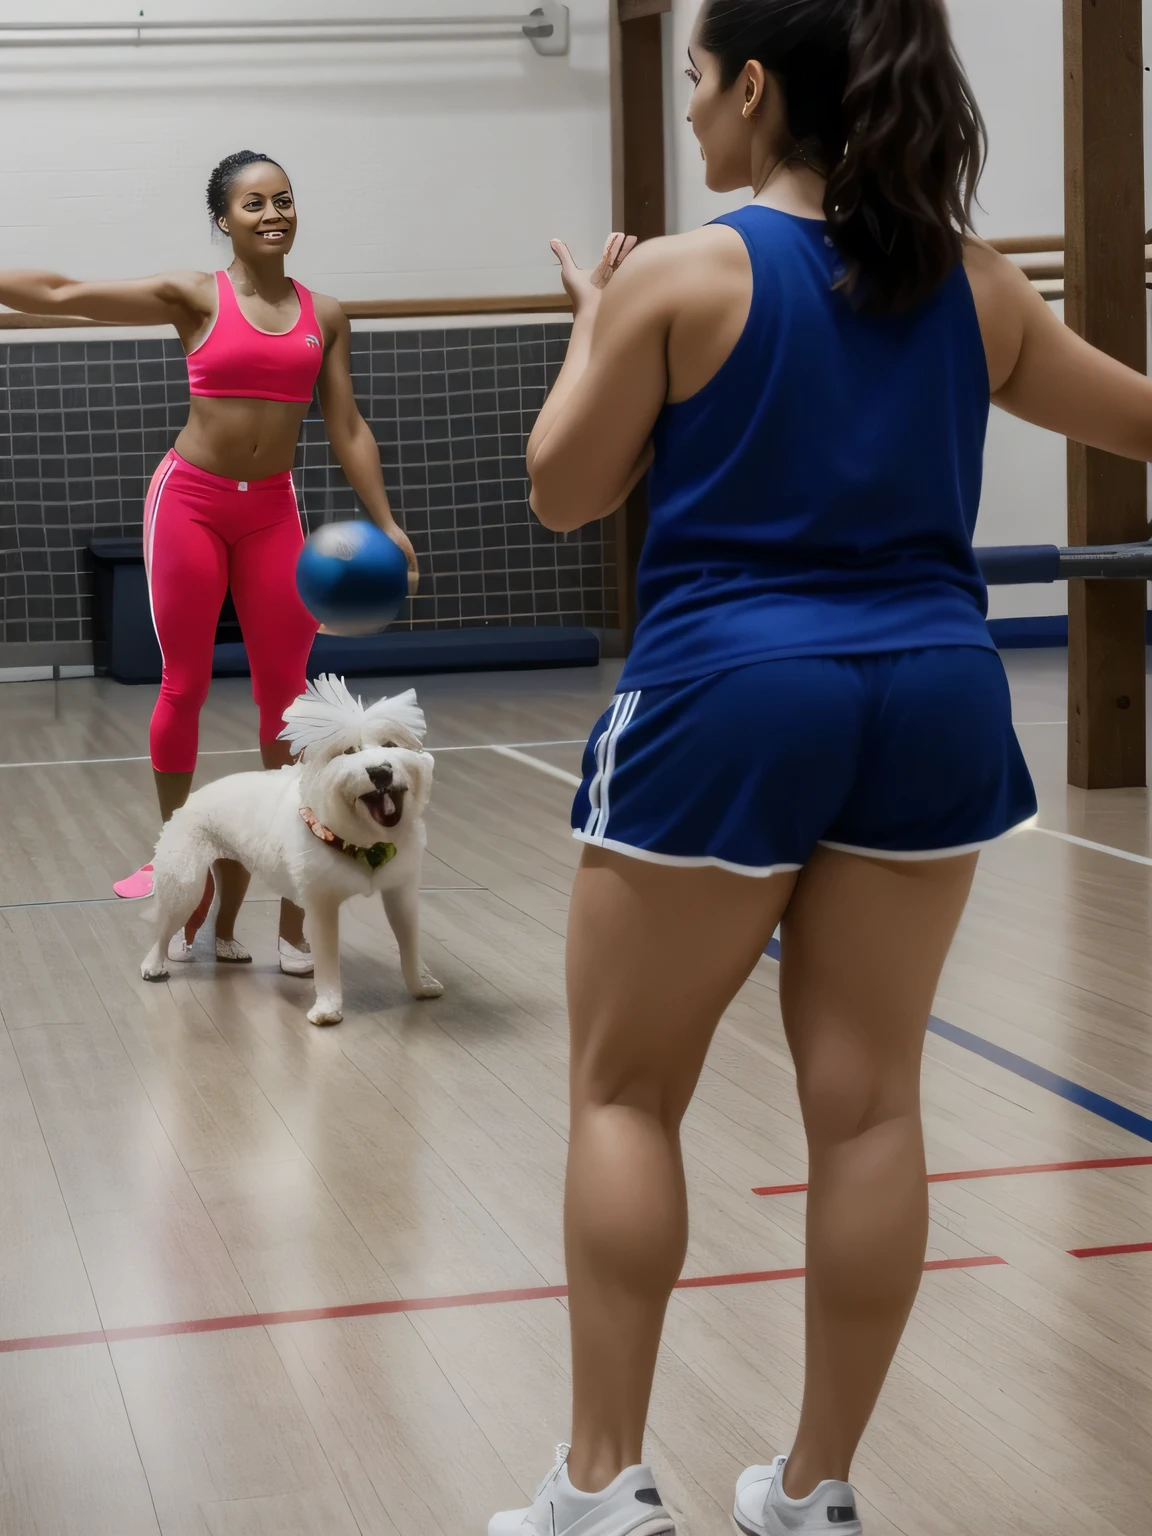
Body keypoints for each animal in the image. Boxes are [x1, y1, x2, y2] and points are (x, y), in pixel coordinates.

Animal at [136, 678, 442, 1026]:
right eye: (348, 751)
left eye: (391, 744)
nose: (380, 771)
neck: (368, 845)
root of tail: (186, 803)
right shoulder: (323, 907)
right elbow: (328, 965)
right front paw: (328, 1009)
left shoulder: (401, 895)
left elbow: (410, 946)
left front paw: (422, 985)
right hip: (185, 886)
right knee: (163, 930)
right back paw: (153, 965)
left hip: (233, 869)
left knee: (224, 911)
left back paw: (227, 947)